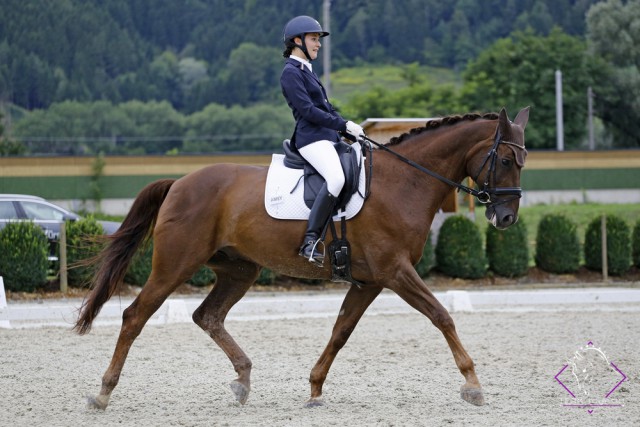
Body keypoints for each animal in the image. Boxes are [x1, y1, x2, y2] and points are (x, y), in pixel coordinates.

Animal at [74, 107, 528, 412]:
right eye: (506, 160)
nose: (506, 218)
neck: (405, 181)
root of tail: (180, 182)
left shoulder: (370, 281)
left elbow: (341, 331)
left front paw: (314, 389)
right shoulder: (395, 272)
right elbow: (441, 316)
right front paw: (472, 384)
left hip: (239, 269)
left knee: (208, 316)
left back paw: (243, 380)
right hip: (176, 264)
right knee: (135, 316)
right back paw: (103, 393)